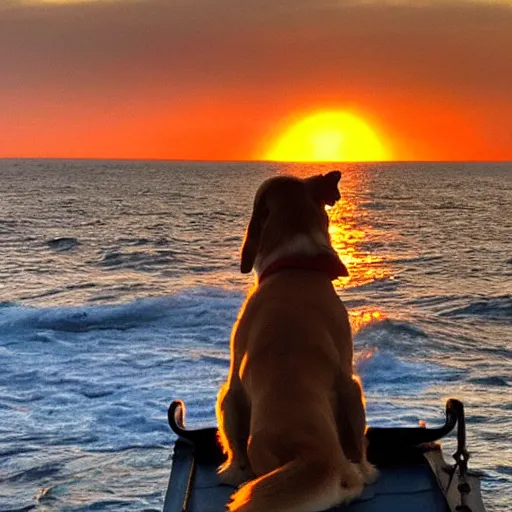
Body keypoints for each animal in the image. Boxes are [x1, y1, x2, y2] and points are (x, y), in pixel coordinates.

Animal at [214, 172, 378, 512]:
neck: (295, 268)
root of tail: (314, 454)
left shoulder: (233, 385)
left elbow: (234, 446)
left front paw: (231, 472)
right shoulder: (348, 379)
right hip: (353, 393)